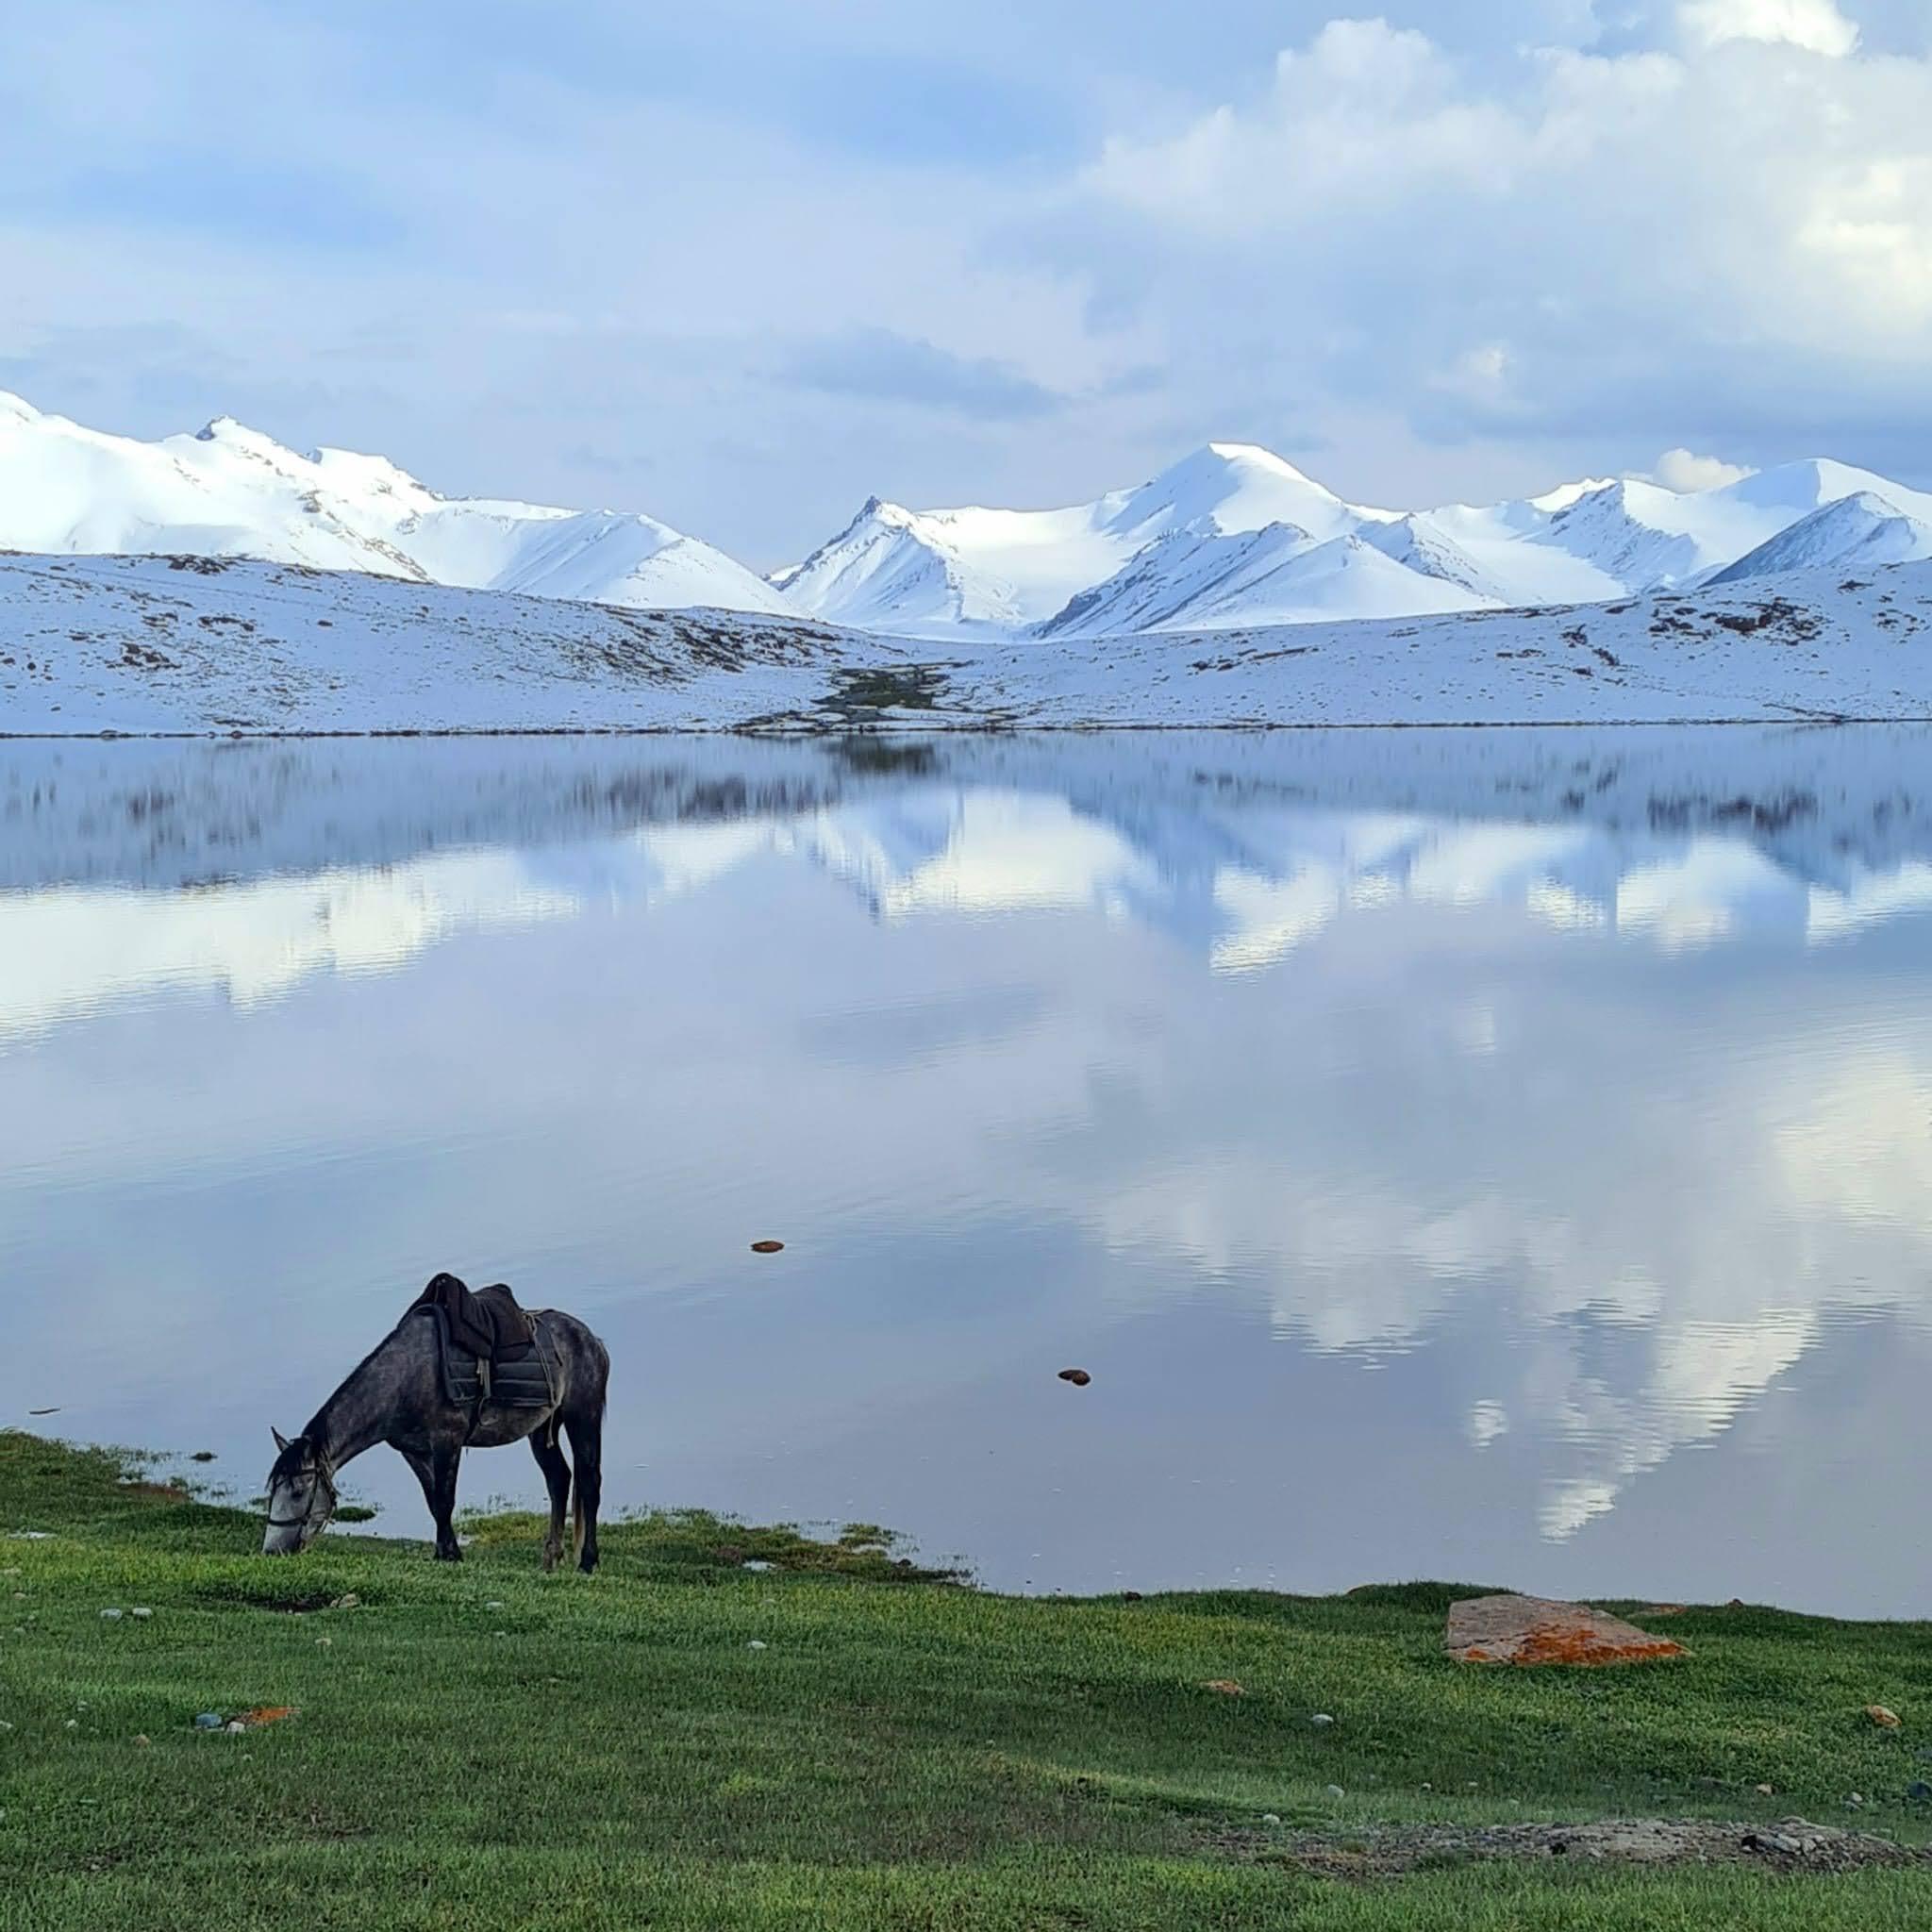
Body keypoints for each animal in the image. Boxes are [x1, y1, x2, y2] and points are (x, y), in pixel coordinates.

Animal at [264, 1282, 607, 1568]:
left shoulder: (447, 1441)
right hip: (542, 1428)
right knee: (559, 1479)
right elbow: (433, 1501)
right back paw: (551, 1557)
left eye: (298, 1492)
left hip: (583, 1417)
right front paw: (445, 1551)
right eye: (273, 1490)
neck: (404, 1379)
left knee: (589, 1481)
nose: (272, 1550)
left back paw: (588, 1561)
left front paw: (451, 1554)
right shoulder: (413, 1451)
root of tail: (594, 1341)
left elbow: (445, 1500)